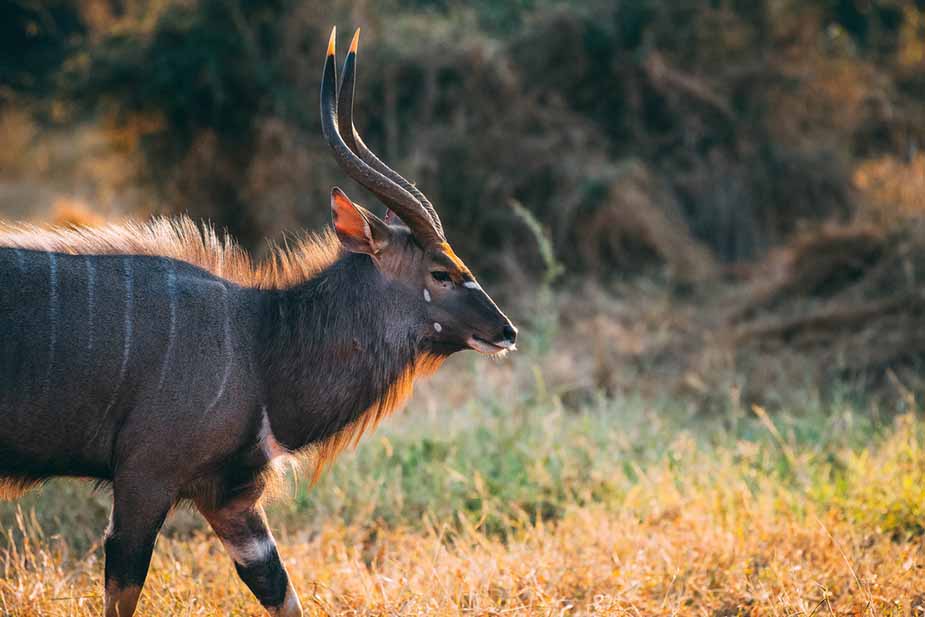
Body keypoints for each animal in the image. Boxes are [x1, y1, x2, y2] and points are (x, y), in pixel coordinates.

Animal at [0, 28, 516, 616]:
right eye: (441, 271)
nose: (507, 331)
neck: (259, 346)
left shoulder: (232, 497)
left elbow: (280, 590)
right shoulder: (143, 480)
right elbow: (123, 591)